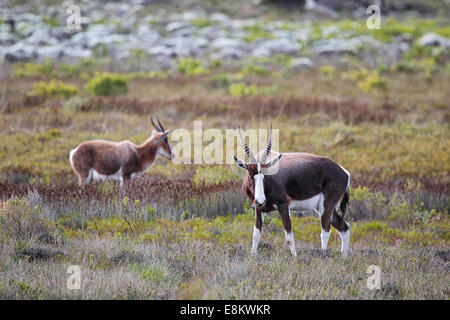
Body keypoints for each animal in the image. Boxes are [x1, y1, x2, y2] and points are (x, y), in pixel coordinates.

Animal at [234, 125, 350, 258]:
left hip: (327, 206)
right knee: (344, 227)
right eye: (251, 175)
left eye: (266, 175)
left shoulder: (284, 205)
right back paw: (344, 257)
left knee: (325, 231)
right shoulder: (258, 209)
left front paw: (295, 257)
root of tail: (344, 172)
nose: (261, 201)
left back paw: (323, 255)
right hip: (322, 208)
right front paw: (253, 256)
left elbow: (289, 236)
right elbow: (256, 235)